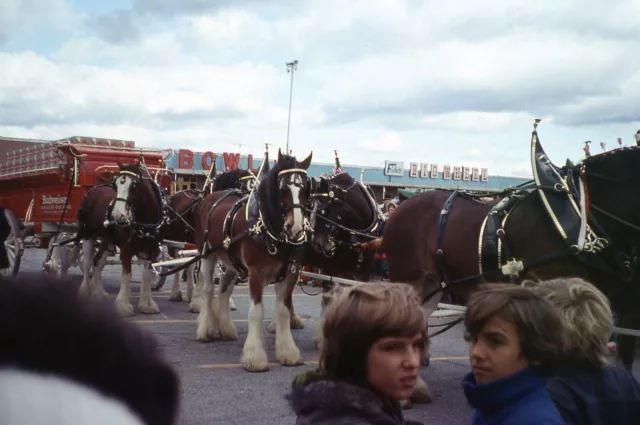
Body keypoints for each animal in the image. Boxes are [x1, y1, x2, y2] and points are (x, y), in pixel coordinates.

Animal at [76, 161, 168, 316]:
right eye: (116, 185)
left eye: (134, 185)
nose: (117, 215)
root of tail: (93, 190)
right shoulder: (126, 250)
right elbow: (127, 276)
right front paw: (123, 305)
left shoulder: (152, 251)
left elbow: (147, 275)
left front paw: (147, 304)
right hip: (87, 234)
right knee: (88, 262)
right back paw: (84, 290)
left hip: (107, 241)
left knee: (97, 262)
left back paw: (98, 293)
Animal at [195, 149, 316, 372]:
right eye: (282, 188)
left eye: (306, 188)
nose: (295, 228)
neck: (267, 227)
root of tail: (210, 199)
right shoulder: (256, 274)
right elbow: (256, 312)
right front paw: (255, 357)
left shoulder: (290, 273)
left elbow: (283, 311)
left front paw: (287, 353)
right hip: (207, 255)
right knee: (208, 290)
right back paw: (205, 330)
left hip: (231, 263)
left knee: (224, 289)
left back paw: (226, 329)